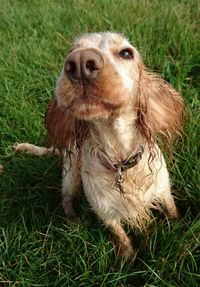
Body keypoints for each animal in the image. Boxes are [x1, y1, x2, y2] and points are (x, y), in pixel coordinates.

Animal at [15, 32, 184, 260]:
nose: (79, 62)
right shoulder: (106, 212)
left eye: (126, 53)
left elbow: (172, 210)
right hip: (70, 176)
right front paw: (127, 258)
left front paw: (178, 227)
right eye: (71, 51)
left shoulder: (164, 190)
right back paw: (73, 222)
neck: (121, 162)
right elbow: (121, 236)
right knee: (65, 199)